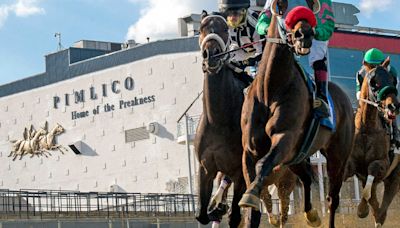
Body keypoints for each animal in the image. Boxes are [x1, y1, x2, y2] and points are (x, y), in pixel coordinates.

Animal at [236, 0, 354, 227]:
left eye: (309, 4)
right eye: (281, 6)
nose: (304, 33)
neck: (270, 89)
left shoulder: (285, 137)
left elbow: (263, 166)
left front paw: (252, 194)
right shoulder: (250, 149)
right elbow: (252, 199)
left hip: (338, 155)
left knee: (332, 198)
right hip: (296, 156)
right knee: (307, 178)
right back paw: (311, 214)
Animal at [344, 58, 400, 227]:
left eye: (393, 80)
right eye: (373, 82)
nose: (393, 105)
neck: (366, 128)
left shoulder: (383, 164)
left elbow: (369, 182)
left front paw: (362, 209)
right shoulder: (352, 164)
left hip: (394, 179)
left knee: (381, 211)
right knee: (378, 209)